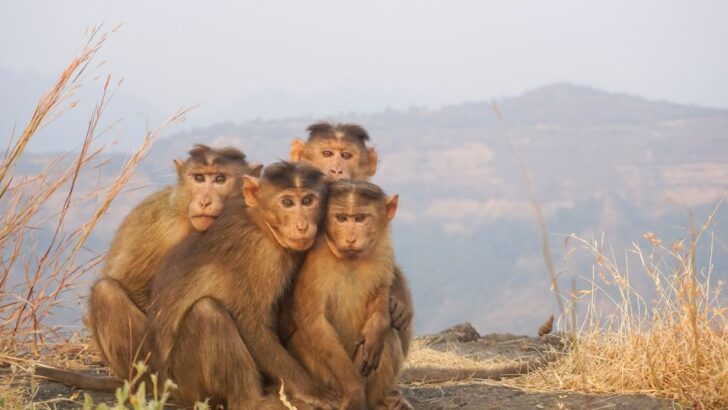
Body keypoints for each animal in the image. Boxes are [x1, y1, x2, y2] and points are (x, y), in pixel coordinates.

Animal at [85, 144, 262, 382]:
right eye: (198, 178)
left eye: (220, 178)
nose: (204, 201)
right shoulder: (162, 226)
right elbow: (131, 284)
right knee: (105, 292)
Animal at [145, 161, 338, 410]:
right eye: (287, 203)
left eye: (307, 201)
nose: (302, 225)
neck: (260, 224)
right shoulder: (262, 257)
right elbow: (251, 325)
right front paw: (311, 390)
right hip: (187, 386)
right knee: (207, 312)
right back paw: (252, 401)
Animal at [286, 180, 412, 410]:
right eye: (341, 218)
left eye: (360, 218)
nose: (351, 238)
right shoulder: (315, 261)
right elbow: (313, 320)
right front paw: (354, 391)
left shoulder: (384, 249)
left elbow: (382, 291)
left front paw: (376, 330)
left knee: (389, 336)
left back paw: (381, 402)